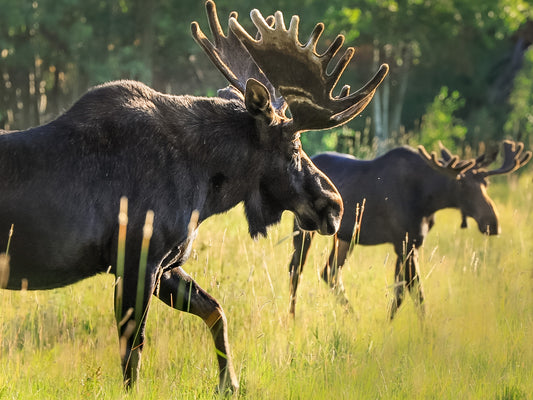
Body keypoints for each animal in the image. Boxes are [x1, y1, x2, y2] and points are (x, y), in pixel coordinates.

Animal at [0, 0, 388, 394]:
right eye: (294, 147)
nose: (335, 206)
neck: (206, 188)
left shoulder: (168, 264)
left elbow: (216, 310)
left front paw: (229, 384)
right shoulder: (138, 258)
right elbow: (133, 352)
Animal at [288, 140, 528, 318]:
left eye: (486, 184)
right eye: (462, 185)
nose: (492, 223)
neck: (429, 199)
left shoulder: (412, 243)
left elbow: (404, 290)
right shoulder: (403, 243)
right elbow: (412, 291)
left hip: (346, 236)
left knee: (329, 272)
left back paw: (353, 317)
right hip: (303, 229)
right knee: (296, 269)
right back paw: (291, 318)